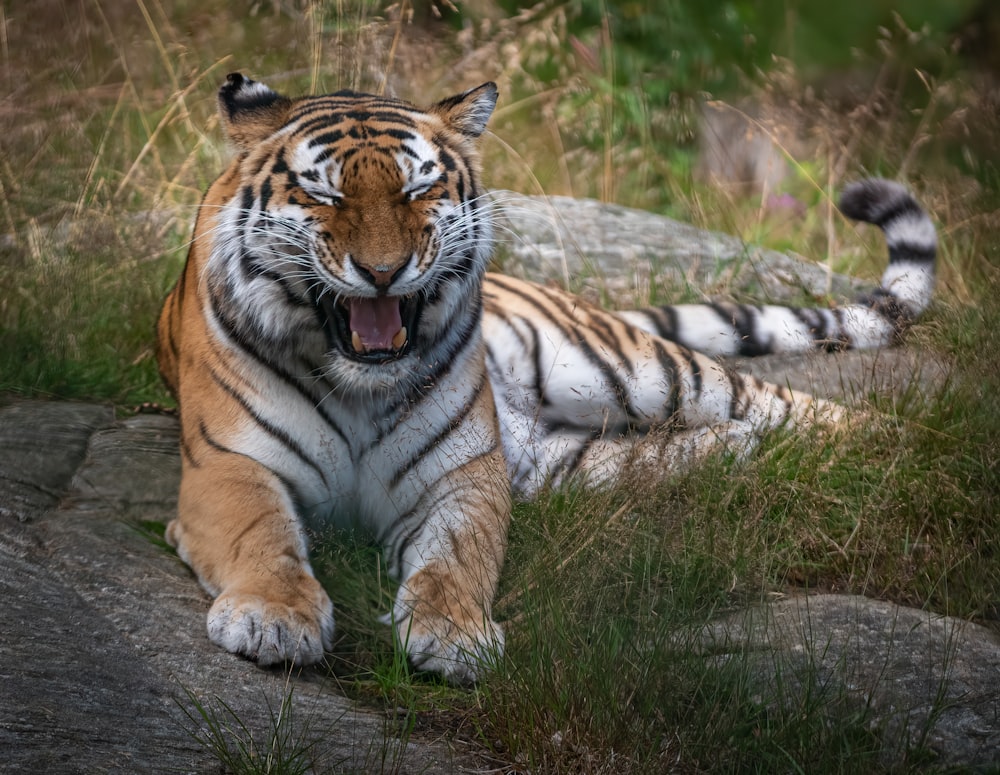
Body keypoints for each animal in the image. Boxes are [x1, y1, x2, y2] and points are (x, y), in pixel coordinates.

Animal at [156, 73, 936, 684]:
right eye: (323, 194)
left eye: (418, 187)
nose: (382, 272)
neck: (358, 381)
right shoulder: (229, 464)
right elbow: (262, 538)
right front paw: (274, 617)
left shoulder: (463, 475)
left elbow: (456, 559)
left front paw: (455, 635)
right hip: (568, 463)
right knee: (696, 442)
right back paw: (733, 452)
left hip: (628, 371)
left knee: (783, 402)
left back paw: (900, 453)